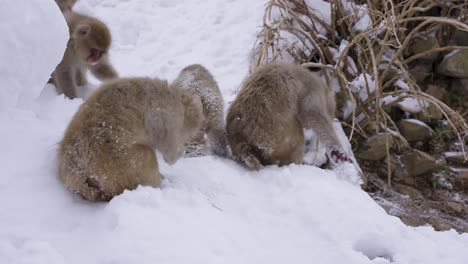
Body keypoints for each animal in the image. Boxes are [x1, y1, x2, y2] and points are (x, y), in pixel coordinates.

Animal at [57, 77, 204, 201]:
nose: (195, 138)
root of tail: (79, 172)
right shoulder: (169, 117)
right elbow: (170, 149)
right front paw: (178, 154)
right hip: (121, 162)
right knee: (146, 158)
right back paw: (158, 182)